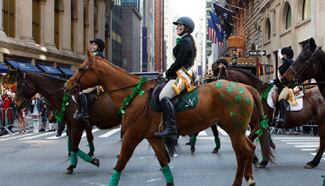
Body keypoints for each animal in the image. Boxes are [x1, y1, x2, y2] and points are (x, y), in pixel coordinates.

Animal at [63, 49, 270, 186]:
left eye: (81, 69)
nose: (67, 86)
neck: (134, 94)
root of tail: (244, 87)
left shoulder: (132, 136)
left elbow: (121, 162)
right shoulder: (152, 137)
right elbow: (163, 162)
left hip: (234, 130)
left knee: (243, 152)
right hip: (238, 130)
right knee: (249, 148)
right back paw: (250, 178)